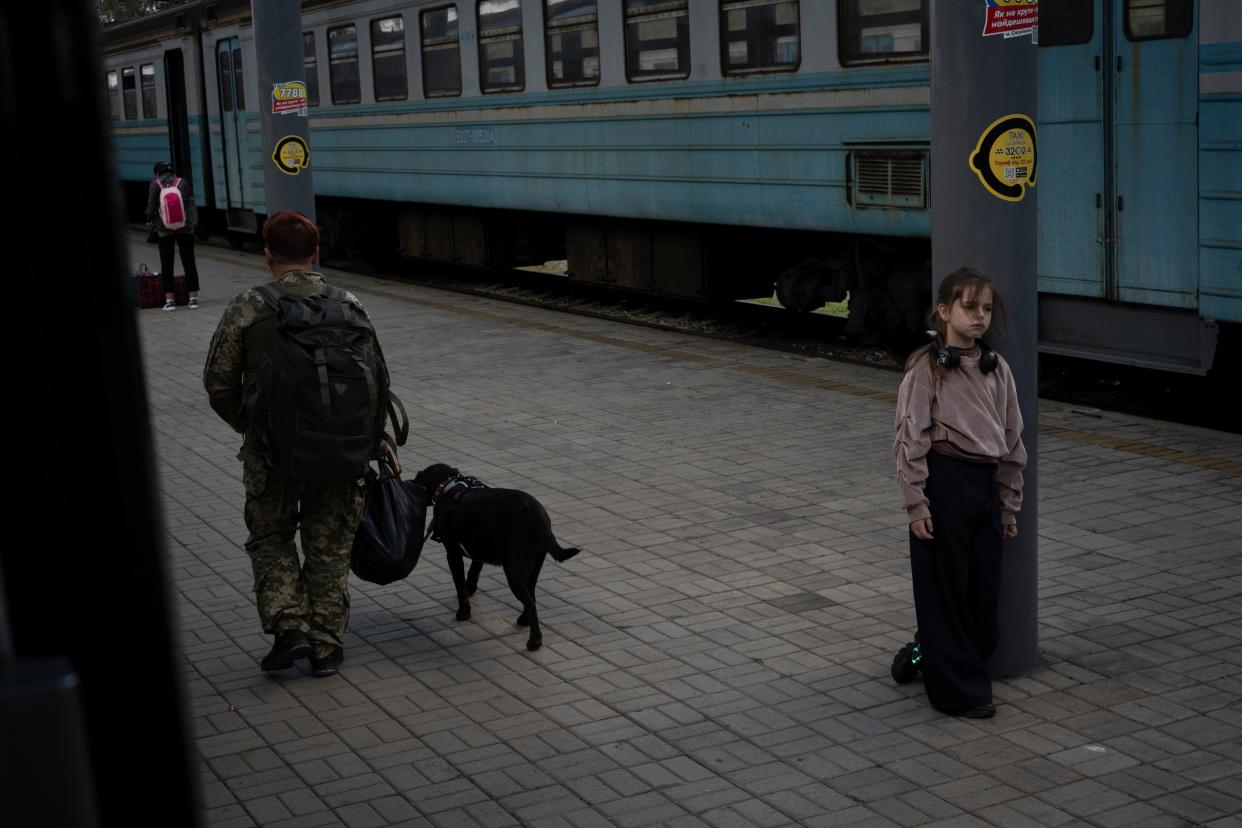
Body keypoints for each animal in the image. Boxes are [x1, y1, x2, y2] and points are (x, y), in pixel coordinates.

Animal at [409, 464, 578, 650]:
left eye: (418, 478)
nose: (409, 482)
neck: (447, 485)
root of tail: (533, 512)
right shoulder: (478, 551)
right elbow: (473, 573)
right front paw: (470, 589)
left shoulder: (453, 554)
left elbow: (459, 586)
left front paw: (463, 613)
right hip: (533, 567)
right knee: (531, 597)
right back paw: (524, 620)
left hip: (514, 571)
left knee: (530, 603)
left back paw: (534, 640)